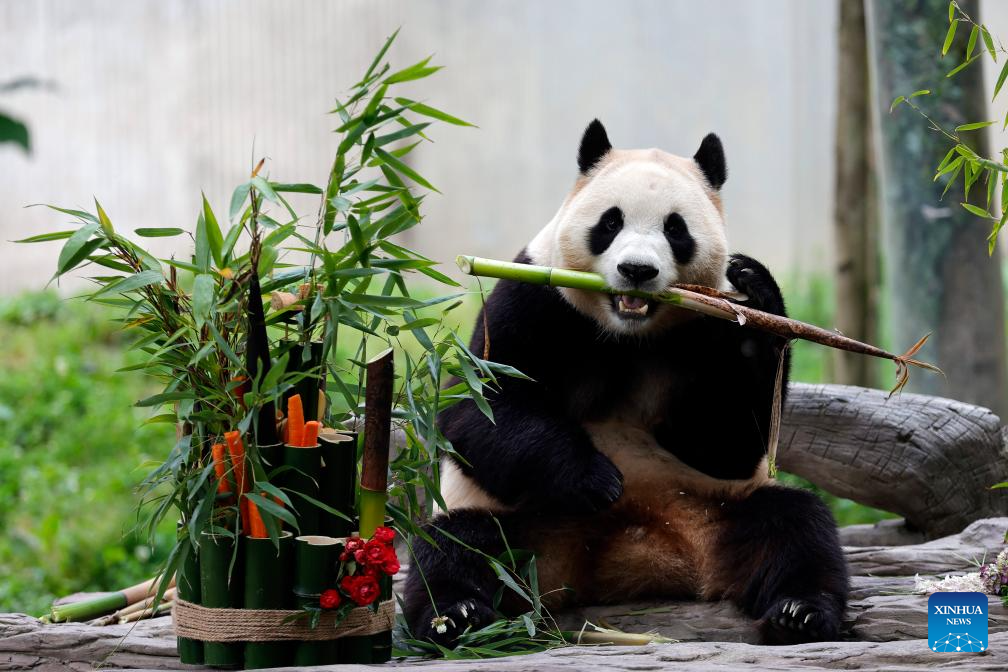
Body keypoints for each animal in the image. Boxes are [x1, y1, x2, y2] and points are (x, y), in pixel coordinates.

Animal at [405, 120, 846, 644]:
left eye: (675, 229)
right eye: (610, 222)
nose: (637, 270)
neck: (625, 331)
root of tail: (631, 558)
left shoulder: (701, 326)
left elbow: (726, 444)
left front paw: (754, 292)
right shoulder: (534, 298)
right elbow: (481, 407)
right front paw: (596, 479)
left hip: (717, 510)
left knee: (795, 524)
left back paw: (801, 611)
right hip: (516, 525)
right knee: (454, 546)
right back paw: (456, 617)